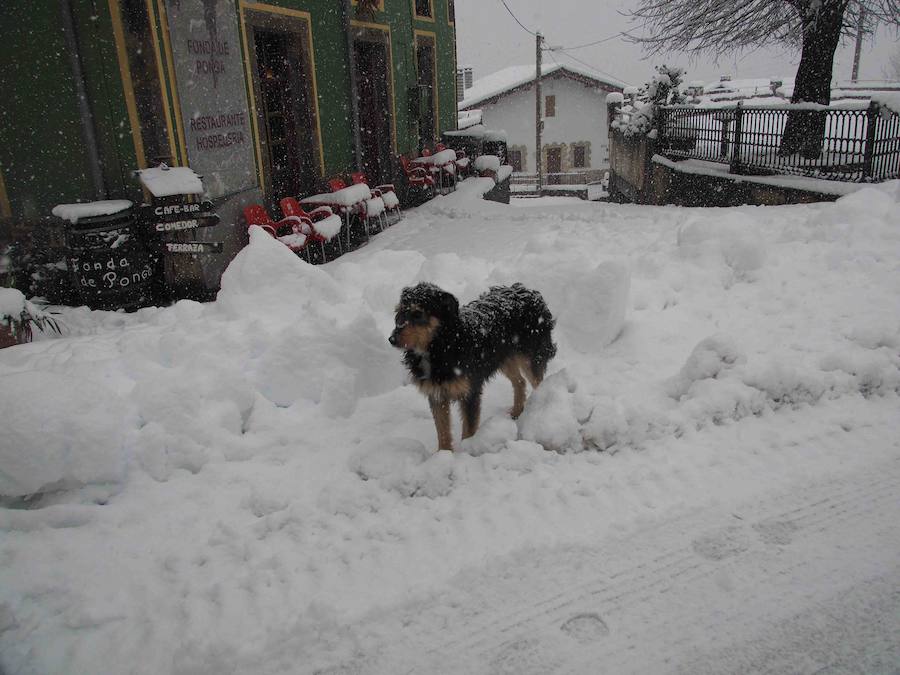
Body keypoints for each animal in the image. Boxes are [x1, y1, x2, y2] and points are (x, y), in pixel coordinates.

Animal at [388, 282, 556, 452]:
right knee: (520, 382)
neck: (441, 346)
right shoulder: (437, 394)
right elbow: (442, 431)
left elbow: (468, 429)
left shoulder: (469, 393)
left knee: (538, 384)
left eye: (417, 314)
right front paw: (443, 454)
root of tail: (528, 291)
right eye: (399, 312)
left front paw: (466, 450)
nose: (392, 339)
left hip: (532, 357)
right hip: (504, 358)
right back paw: (516, 412)